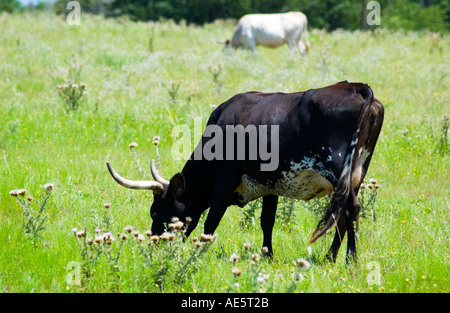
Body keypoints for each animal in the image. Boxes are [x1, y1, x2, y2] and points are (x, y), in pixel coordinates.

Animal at [105, 80, 384, 260]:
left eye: (156, 212)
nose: (155, 244)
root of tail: (355, 87)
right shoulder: (272, 184)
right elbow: (267, 221)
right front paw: (267, 255)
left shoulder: (225, 181)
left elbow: (212, 220)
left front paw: (200, 251)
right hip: (356, 173)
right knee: (344, 214)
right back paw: (331, 258)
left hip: (338, 170)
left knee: (349, 209)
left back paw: (348, 259)